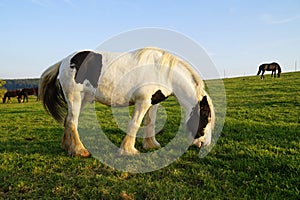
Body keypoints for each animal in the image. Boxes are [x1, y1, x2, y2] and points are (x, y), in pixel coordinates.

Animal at [39, 47, 216, 157]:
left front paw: (151, 145)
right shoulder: (143, 102)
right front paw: (129, 150)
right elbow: (135, 124)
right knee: (72, 122)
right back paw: (79, 150)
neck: (163, 71)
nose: (205, 144)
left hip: (81, 100)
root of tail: (64, 61)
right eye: (206, 119)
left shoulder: (153, 102)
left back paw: (67, 147)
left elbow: (150, 123)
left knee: (68, 121)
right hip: (75, 98)